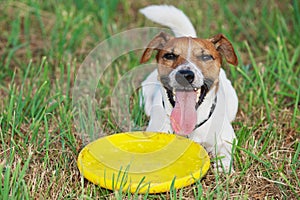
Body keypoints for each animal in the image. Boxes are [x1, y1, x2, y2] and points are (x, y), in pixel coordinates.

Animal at [139, 5, 239, 172]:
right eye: (170, 56)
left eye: (205, 57)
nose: (185, 75)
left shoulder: (226, 138)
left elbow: (225, 152)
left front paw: (223, 167)